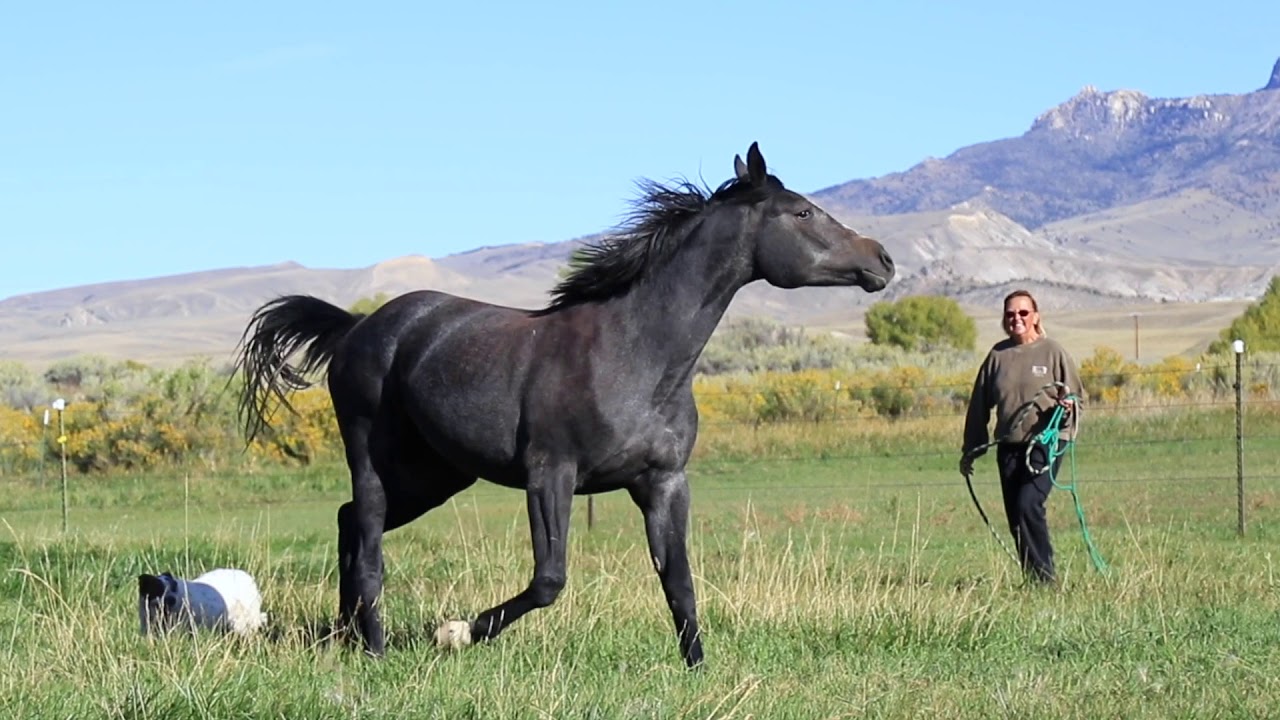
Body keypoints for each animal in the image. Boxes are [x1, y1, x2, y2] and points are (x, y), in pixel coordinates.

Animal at [235, 142, 896, 666]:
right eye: (803, 211)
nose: (882, 259)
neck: (634, 354)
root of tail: (356, 328)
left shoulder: (663, 482)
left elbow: (679, 581)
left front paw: (698, 670)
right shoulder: (550, 476)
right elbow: (549, 579)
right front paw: (458, 631)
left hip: (437, 475)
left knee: (348, 521)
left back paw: (345, 638)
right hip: (375, 456)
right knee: (368, 534)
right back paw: (371, 646)